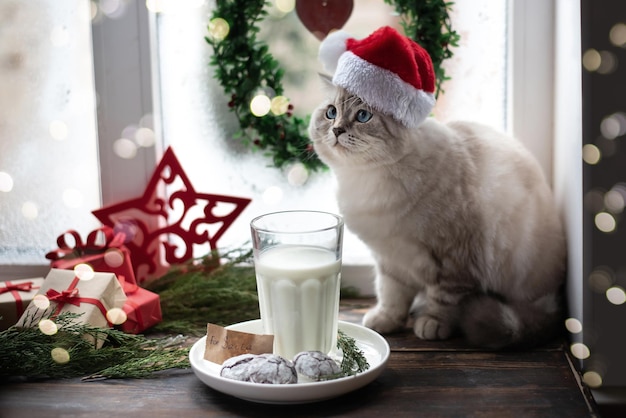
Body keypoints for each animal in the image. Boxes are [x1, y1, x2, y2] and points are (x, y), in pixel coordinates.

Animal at [308, 78, 564, 350]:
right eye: (331, 112)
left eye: (363, 116)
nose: (336, 130)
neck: (366, 180)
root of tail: (554, 300)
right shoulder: (390, 256)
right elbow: (391, 294)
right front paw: (386, 320)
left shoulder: (454, 258)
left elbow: (444, 299)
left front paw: (432, 324)